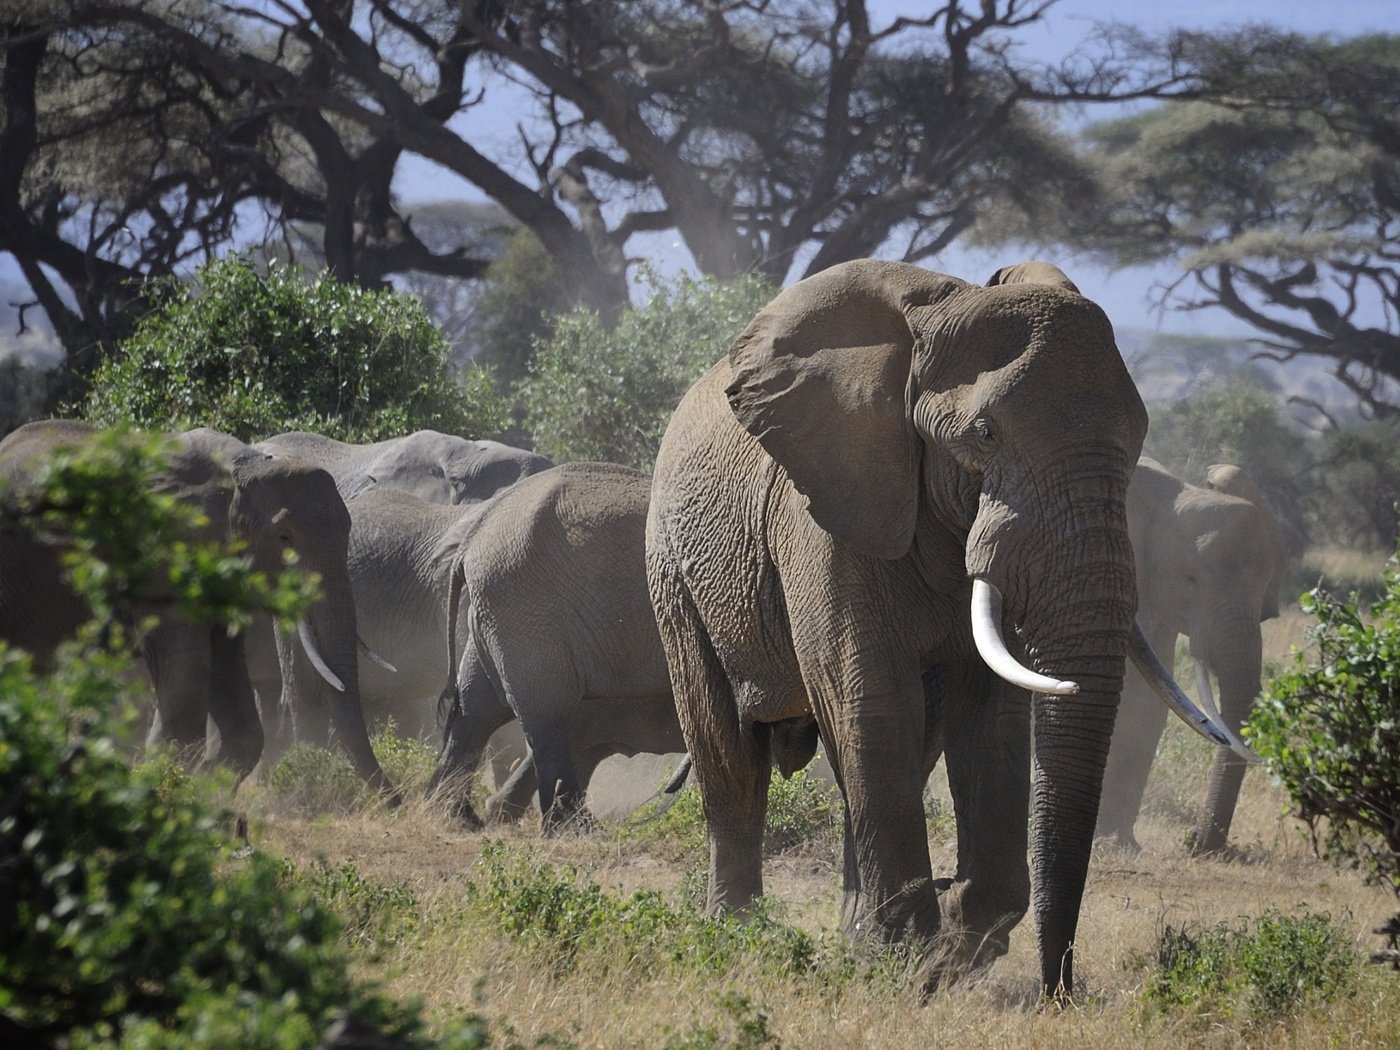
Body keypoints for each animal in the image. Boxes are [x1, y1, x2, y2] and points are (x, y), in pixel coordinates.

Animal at [1, 422, 394, 795]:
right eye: (284, 538)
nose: (396, 799)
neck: (243, 467)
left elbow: (236, 705)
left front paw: (205, 792)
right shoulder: (166, 555)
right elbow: (186, 689)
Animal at [425, 462, 688, 828]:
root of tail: (476, 534)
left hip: (496, 612)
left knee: (475, 709)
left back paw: (452, 817)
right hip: (526, 608)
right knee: (545, 715)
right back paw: (572, 828)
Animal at [644, 259, 1248, 996]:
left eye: (1137, 441)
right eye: (985, 434)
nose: (1059, 990)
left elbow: (989, 715)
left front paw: (942, 951)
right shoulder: (825, 511)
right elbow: (871, 698)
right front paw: (913, 954)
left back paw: (856, 941)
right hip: (673, 567)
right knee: (730, 750)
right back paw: (739, 934)